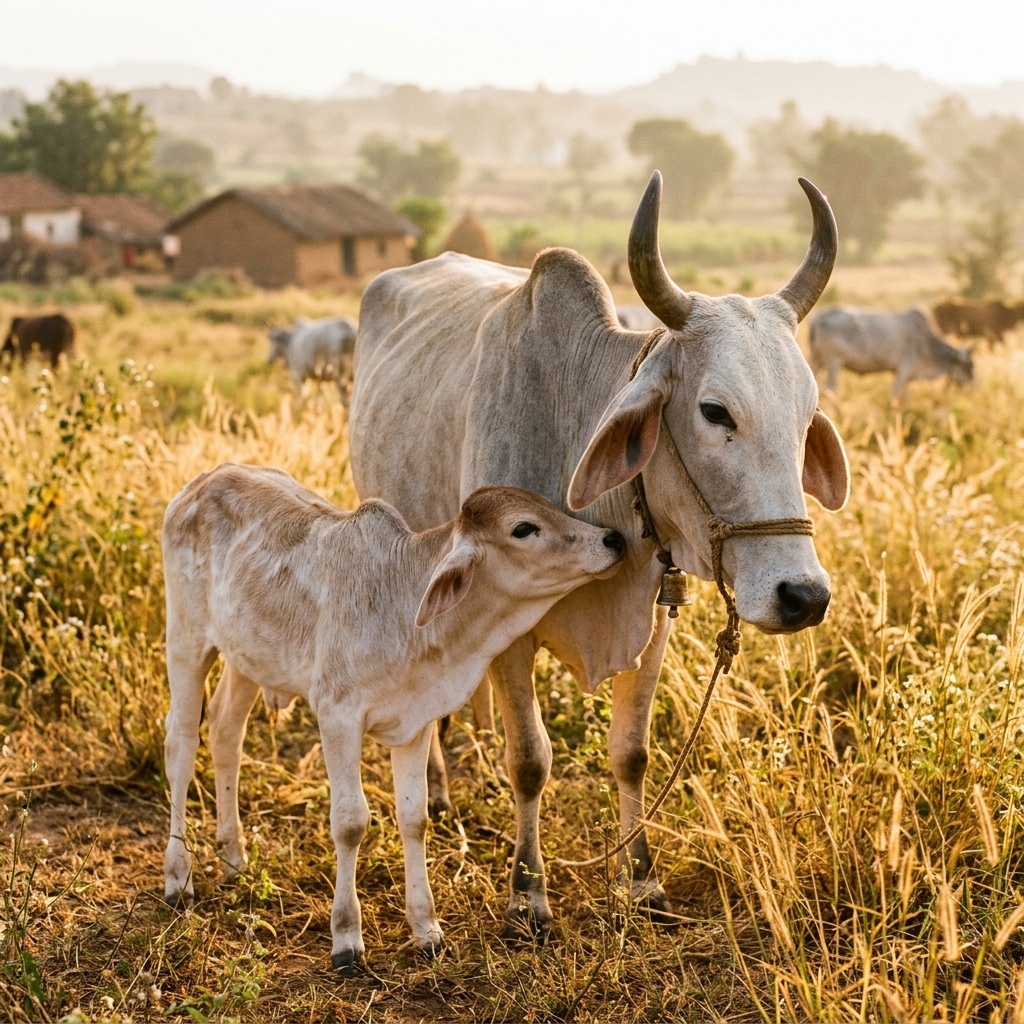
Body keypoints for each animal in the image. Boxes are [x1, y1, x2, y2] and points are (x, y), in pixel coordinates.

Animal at [161, 464, 624, 971]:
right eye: (524, 528)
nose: (613, 539)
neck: (400, 605)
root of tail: (205, 480)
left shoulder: (414, 723)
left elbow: (414, 817)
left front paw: (427, 929)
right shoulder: (337, 716)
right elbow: (350, 822)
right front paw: (346, 938)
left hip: (248, 656)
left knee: (226, 730)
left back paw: (234, 859)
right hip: (186, 638)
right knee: (181, 746)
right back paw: (178, 878)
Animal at [348, 171, 850, 942]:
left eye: (805, 415)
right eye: (714, 411)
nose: (803, 596)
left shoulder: (655, 615)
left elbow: (631, 753)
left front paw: (640, 880)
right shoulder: (509, 630)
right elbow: (529, 760)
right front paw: (527, 895)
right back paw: (434, 792)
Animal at [808, 306, 973, 401]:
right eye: (968, 367)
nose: (973, 387)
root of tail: (820, 318)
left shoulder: (907, 378)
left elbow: (904, 398)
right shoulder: (903, 371)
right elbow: (895, 396)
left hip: (817, 361)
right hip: (834, 362)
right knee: (830, 389)